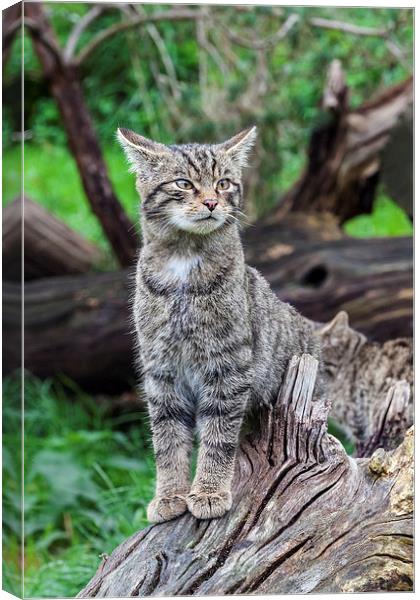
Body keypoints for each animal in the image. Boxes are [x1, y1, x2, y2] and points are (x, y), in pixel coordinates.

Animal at [116, 125, 320, 520]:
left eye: (223, 183)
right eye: (183, 183)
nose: (212, 202)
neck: (184, 262)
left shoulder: (227, 368)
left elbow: (218, 435)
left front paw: (209, 491)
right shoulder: (161, 371)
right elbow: (167, 440)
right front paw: (169, 495)